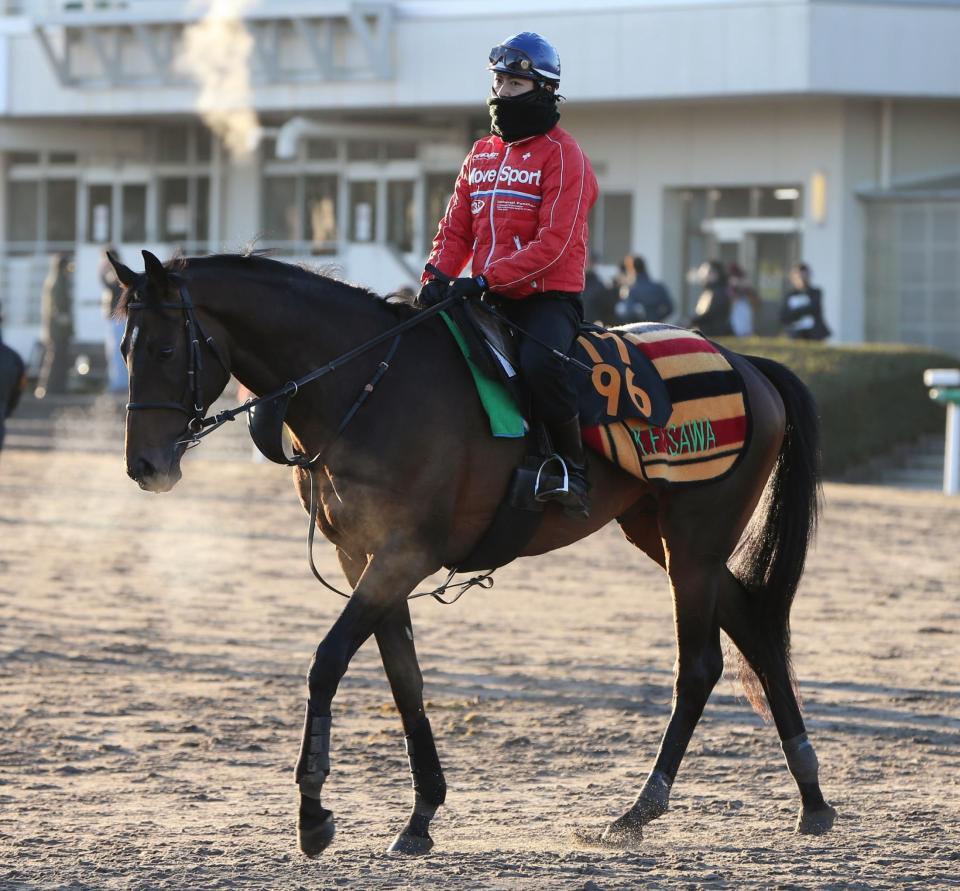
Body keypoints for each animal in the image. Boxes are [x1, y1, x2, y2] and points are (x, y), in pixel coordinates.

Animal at [110, 249, 832, 856]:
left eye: (167, 347)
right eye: (124, 346)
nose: (144, 465)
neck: (369, 386)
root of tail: (747, 365)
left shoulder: (402, 555)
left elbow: (327, 662)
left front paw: (313, 813)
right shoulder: (364, 559)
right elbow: (405, 680)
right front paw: (421, 814)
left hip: (694, 540)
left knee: (701, 664)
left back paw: (639, 808)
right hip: (662, 533)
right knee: (754, 627)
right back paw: (811, 796)